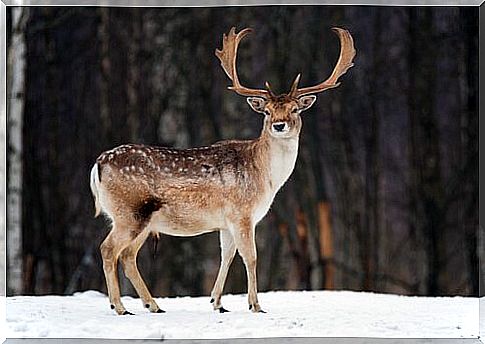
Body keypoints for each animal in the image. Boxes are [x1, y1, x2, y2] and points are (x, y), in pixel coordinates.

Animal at [91, 26, 354, 316]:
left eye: (295, 109)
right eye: (267, 111)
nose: (279, 125)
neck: (266, 178)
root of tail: (98, 164)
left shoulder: (226, 222)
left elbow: (226, 256)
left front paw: (217, 302)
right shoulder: (242, 213)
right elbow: (250, 257)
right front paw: (255, 305)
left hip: (143, 220)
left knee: (127, 255)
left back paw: (153, 305)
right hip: (130, 212)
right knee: (108, 249)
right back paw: (120, 306)